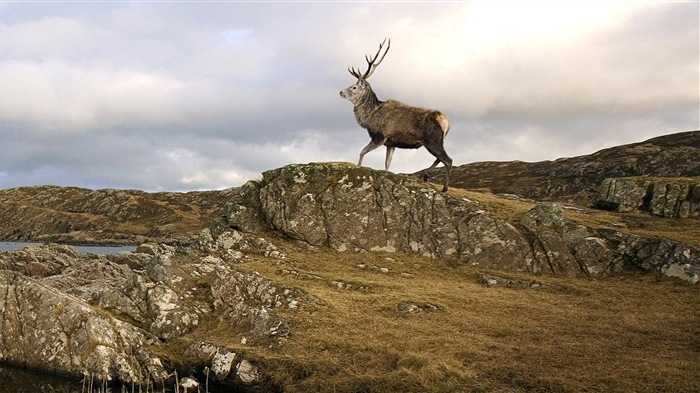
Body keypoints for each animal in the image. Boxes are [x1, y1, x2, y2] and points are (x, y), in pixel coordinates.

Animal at [340, 39, 454, 191]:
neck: (369, 117)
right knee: (440, 158)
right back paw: (426, 175)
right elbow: (387, 163)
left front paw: (358, 168)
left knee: (448, 160)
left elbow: (362, 151)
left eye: (354, 87)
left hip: (432, 139)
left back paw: (445, 187)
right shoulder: (391, 143)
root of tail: (446, 122)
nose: (341, 92)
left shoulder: (379, 136)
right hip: (438, 140)